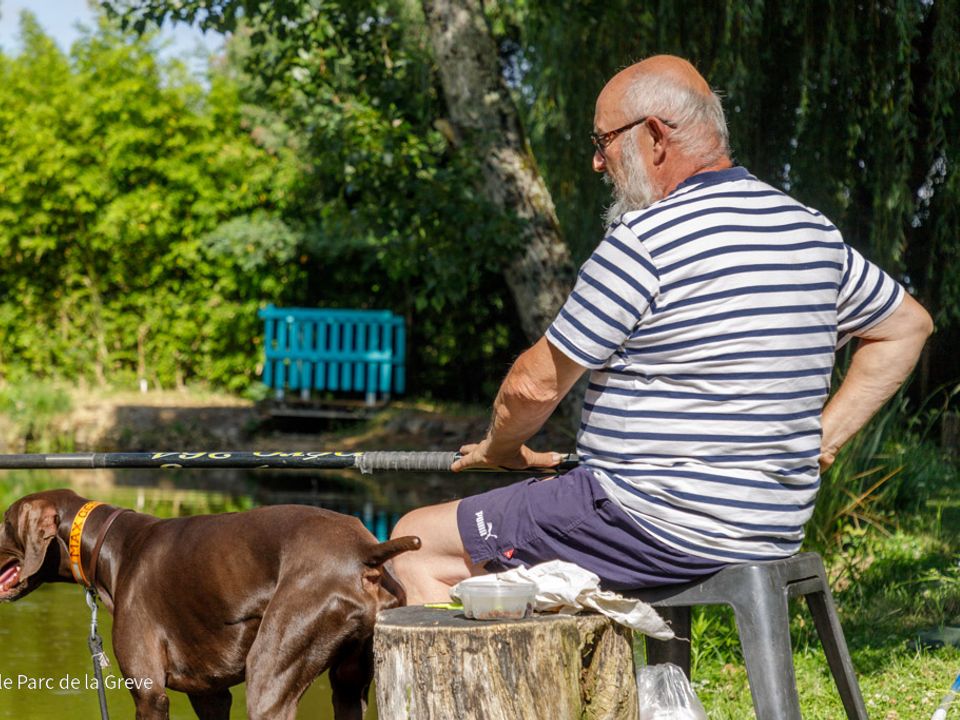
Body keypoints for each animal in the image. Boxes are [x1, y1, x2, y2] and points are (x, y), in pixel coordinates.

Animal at [0, 490, 420, 720]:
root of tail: (365, 550)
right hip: (349, 686)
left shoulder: (150, 692)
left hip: (270, 678)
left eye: (4, 522)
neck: (111, 546)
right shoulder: (210, 694)